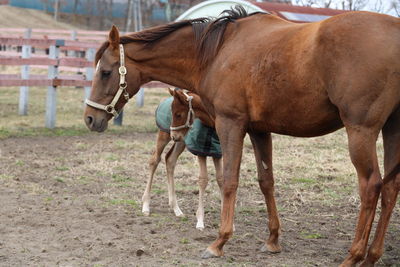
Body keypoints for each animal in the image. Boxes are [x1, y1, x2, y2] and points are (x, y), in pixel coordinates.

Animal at [141, 89, 223, 230]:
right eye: (173, 114)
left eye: (178, 115)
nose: (174, 135)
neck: (211, 124)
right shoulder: (200, 150)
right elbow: (203, 179)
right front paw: (200, 221)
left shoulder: (217, 152)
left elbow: (222, 179)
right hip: (165, 134)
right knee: (154, 160)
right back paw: (146, 205)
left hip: (182, 140)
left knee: (170, 159)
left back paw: (176, 209)